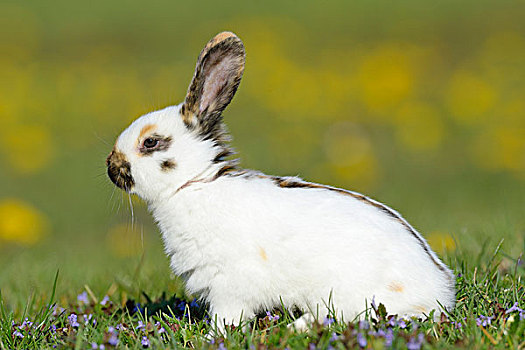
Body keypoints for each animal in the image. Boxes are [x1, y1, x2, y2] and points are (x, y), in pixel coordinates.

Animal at [106, 31, 454, 330]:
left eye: (150, 142)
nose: (111, 167)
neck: (195, 184)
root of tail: (439, 290)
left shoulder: (229, 285)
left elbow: (228, 316)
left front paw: (213, 336)